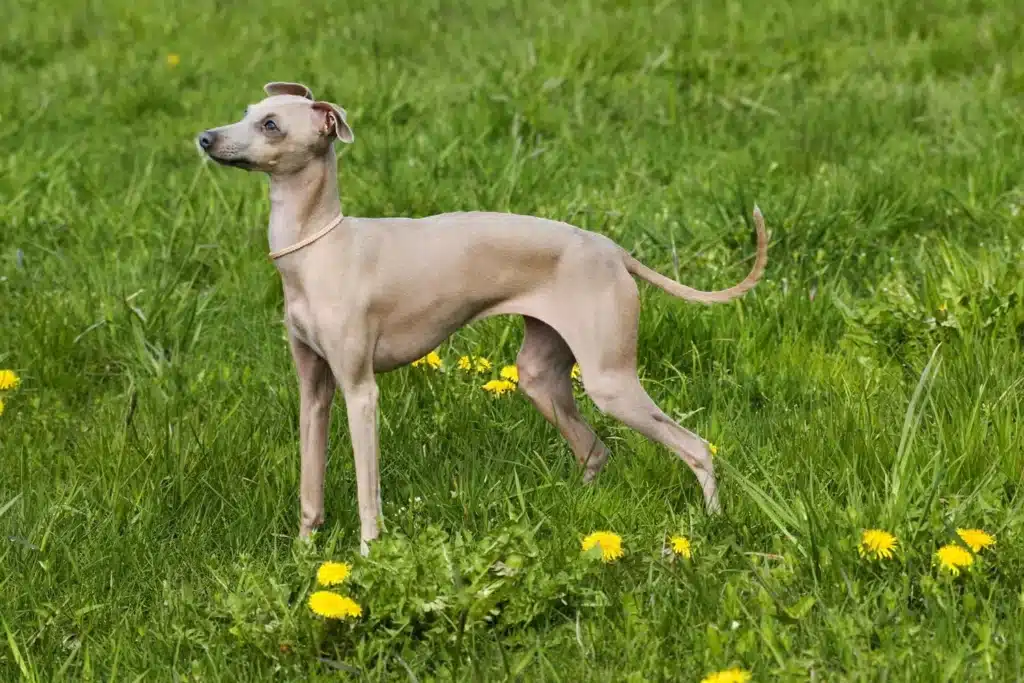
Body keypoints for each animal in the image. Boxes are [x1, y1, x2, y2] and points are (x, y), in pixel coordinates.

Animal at [197, 82, 770, 552]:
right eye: (246, 112)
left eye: (271, 125)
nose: (204, 138)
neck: (319, 249)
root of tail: (612, 249)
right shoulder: (314, 389)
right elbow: (309, 486)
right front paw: (304, 554)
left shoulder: (360, 391)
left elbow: (367, 492)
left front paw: (366, 557)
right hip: (541, 377)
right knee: (595, 451)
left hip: (611, 382)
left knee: (696, 448)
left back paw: (712, 524)